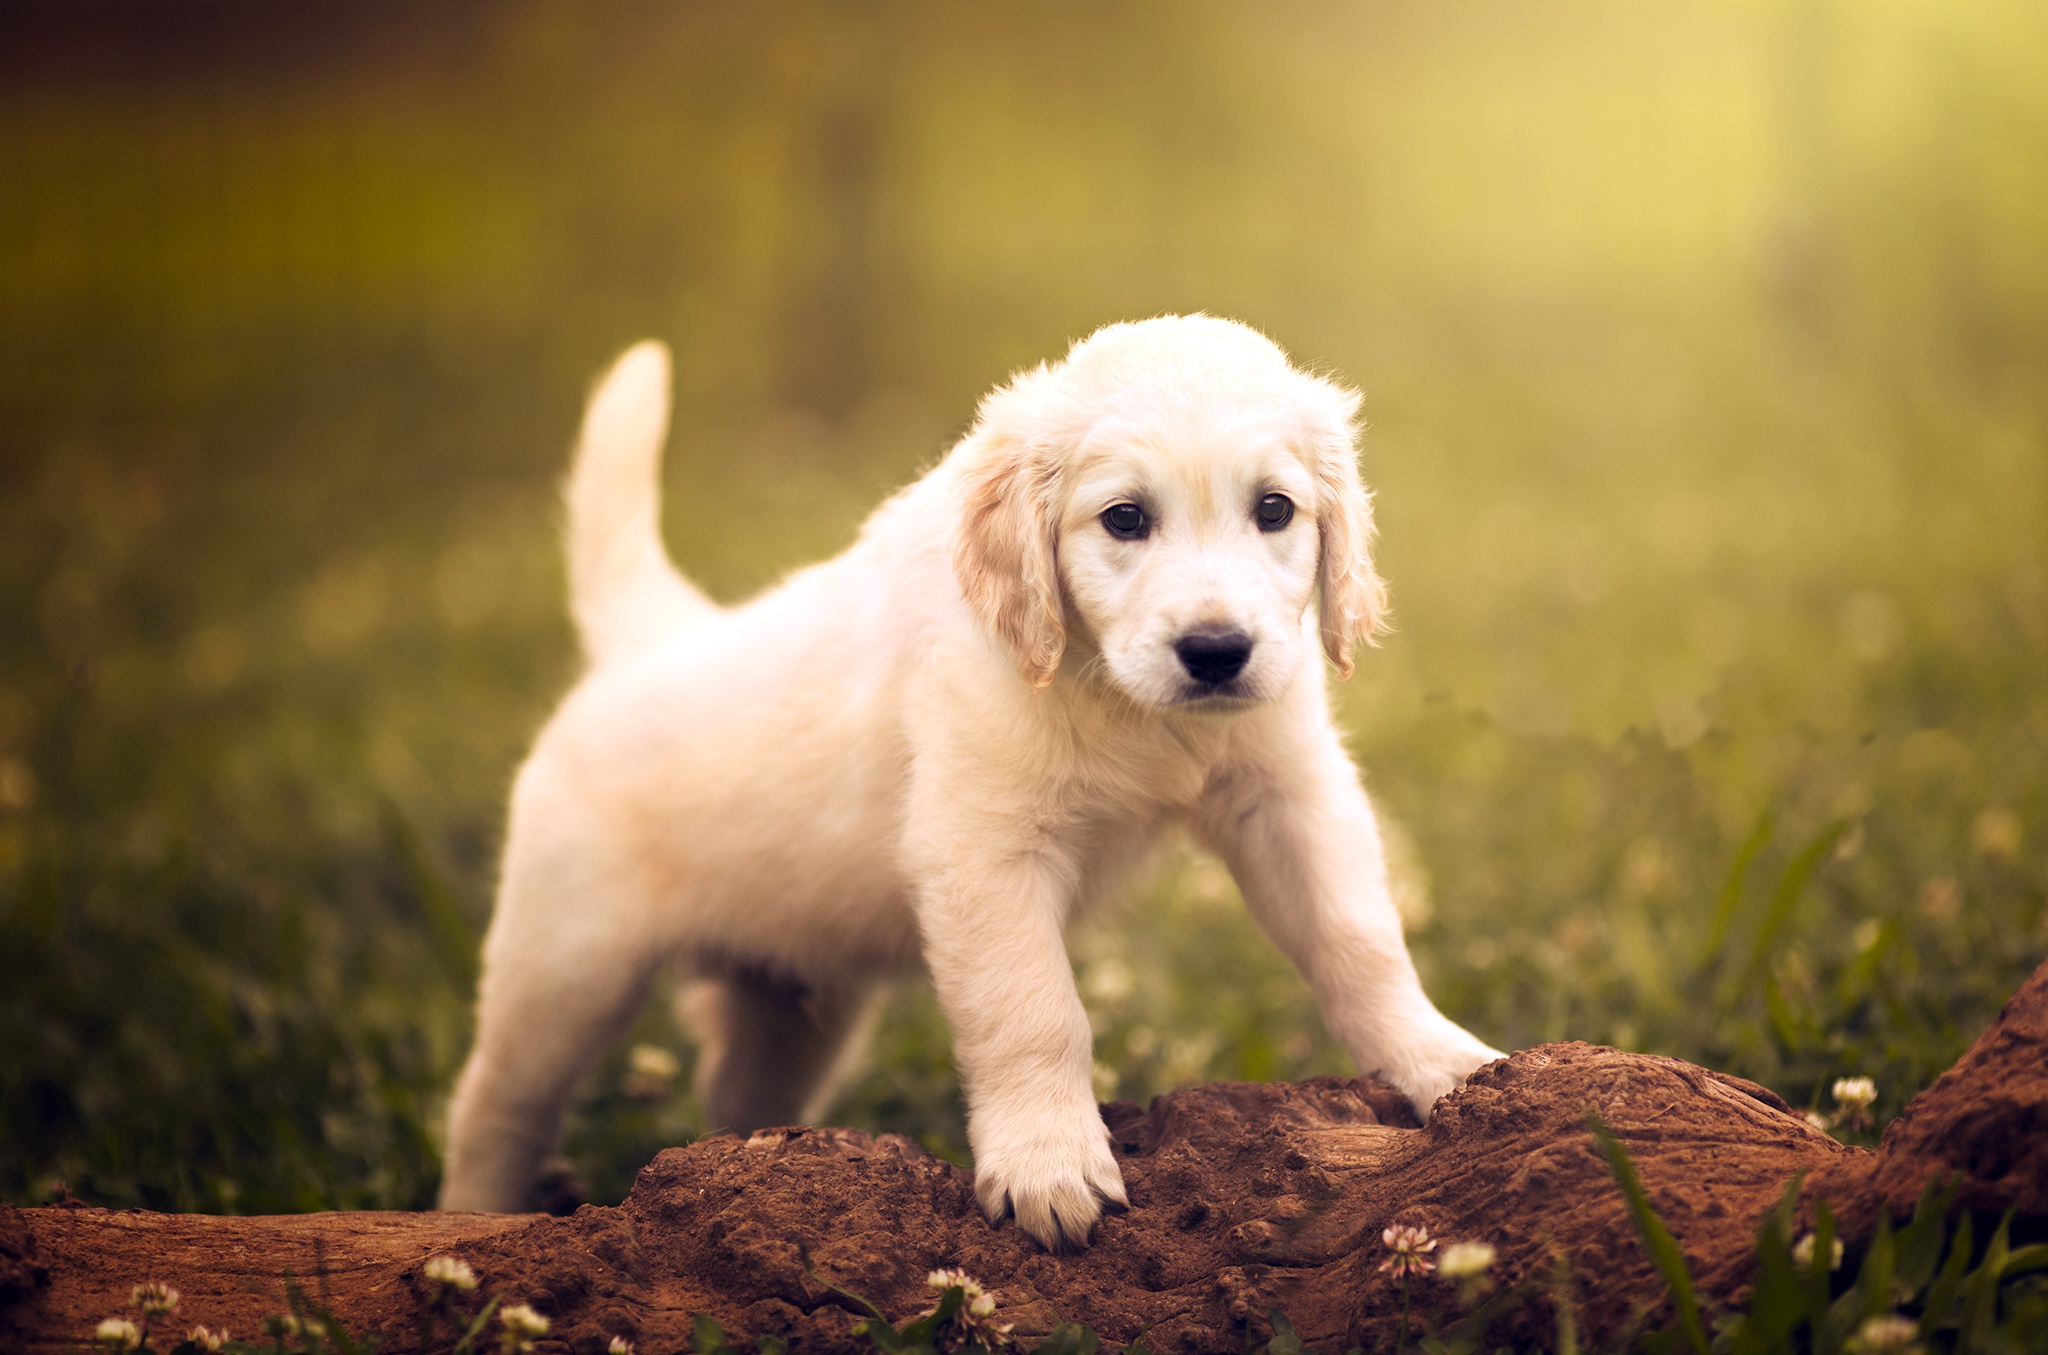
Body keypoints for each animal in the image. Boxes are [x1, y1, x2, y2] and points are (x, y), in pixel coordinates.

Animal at [444, 319, 1507, 1252]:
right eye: (1125, 518)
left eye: (1275, 510)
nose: (1215, 652)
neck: (1117, 696)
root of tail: (647, 642)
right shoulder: (985, 846)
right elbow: (1033, 1010)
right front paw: (1051, 1163)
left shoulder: (1287, 794)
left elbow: (1358, 939)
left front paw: (1448, 1065)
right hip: (565, 966)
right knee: (494, 1102)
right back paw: (472, 1220)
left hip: (795, 1009)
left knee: (739, 1092)